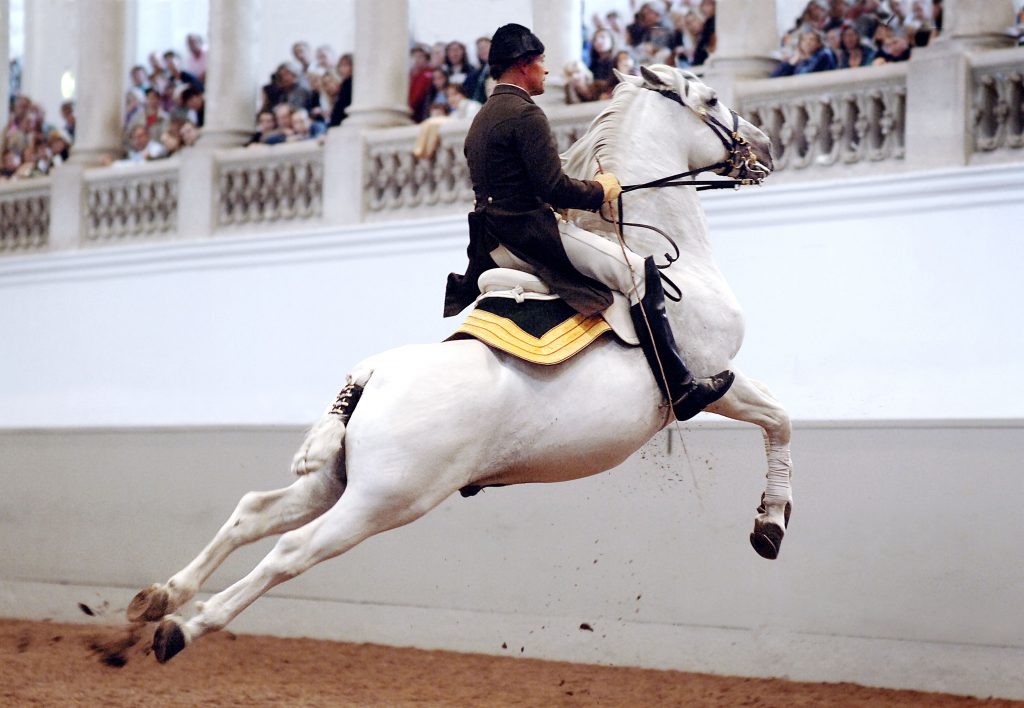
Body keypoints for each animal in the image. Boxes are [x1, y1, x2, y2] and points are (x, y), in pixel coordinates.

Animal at [130, 65, 790, 663]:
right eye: (712, 99)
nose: (763, 145)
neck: (665, 253)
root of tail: (371, 375)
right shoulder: (715, 379)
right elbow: (777, 417)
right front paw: (771, 524)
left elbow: (776, 417)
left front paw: (768, 522)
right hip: (387, 500)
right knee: (292, 550)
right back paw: (182, 627)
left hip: (338, 480)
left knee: (253, 514)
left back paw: (161, 597)